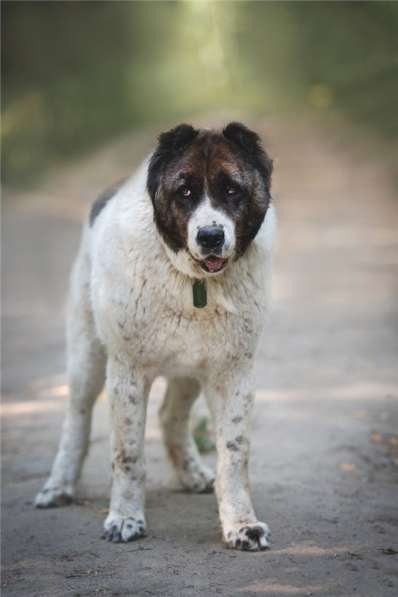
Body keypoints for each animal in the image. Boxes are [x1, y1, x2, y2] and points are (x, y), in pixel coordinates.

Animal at [35, 123, 276, 552]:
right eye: (186, 191)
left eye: (232, 190)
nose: (211, 236)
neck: (196, 284)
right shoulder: (127, 373)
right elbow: (128, 453)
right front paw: (124, 519)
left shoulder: (232, 374)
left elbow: (234, 454)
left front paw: (242, 525)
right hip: (86, 355)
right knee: (76, 419)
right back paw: (58, 487)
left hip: (190, 372)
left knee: (171, 416)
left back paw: (193, 474)